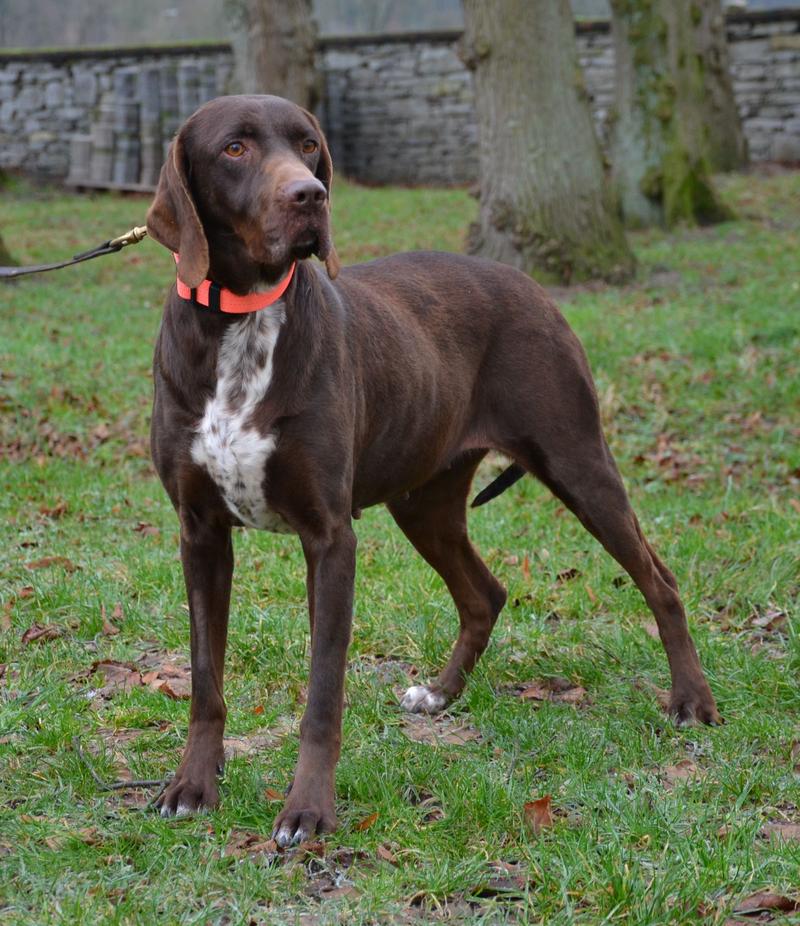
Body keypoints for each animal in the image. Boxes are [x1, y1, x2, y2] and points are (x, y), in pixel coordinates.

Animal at [145, 96, 720, 848]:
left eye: (308, 145)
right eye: (234, 148)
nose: (310, 195)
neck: (244, 318)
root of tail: (531, 286)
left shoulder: (329, 538)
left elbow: (322, 692)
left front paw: (308, 810)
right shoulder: (201, 533)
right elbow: (205, 679)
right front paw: (193, 785)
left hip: (577, 461)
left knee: (660, 579)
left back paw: (691, 701)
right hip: (424, 501)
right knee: (485, 594)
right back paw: (442, 693)